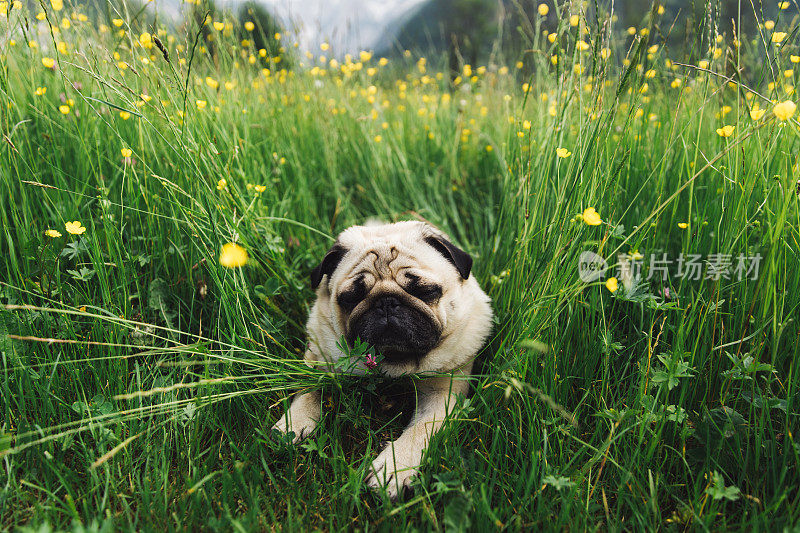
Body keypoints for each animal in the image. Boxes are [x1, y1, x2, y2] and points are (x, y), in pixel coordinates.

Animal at [272, 218, 490, 496]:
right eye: (351, 297)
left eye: (425, 291)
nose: (386, 302)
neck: (395, 362)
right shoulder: (319, 351)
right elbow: (309, 388)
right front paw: (294, 421)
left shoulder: (443, 393)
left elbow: (420, 429)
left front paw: (394, 467)